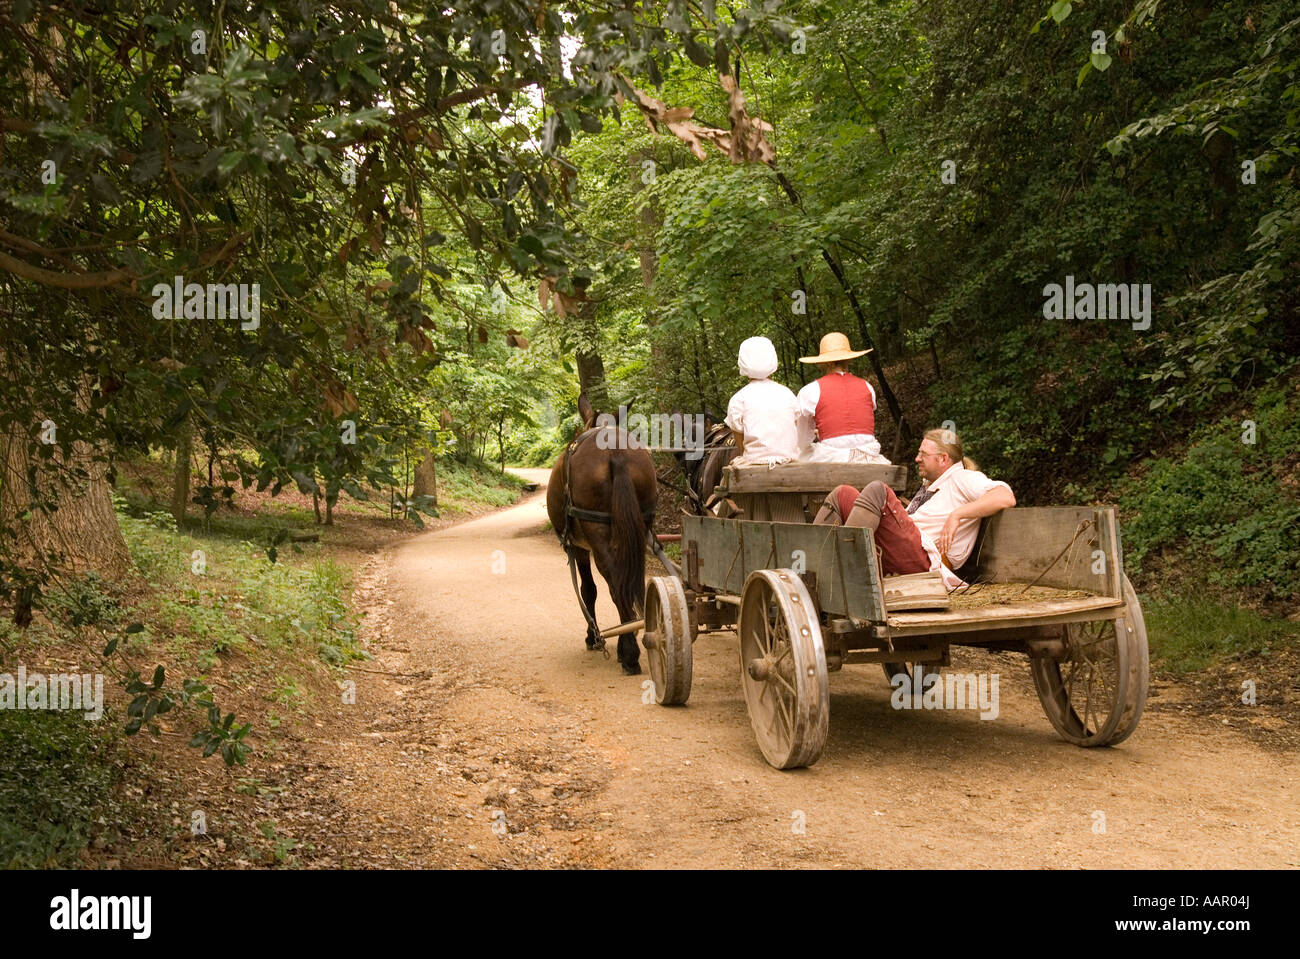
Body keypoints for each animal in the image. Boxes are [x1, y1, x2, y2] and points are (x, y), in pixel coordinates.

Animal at [546, 394, 658, 675]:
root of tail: (615, 452)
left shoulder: (579, 547)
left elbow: (588, 590)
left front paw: (593, 637)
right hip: (642, 526)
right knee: (628, 582)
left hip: (595, 532)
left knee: (616, 586)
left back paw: (628, 653)